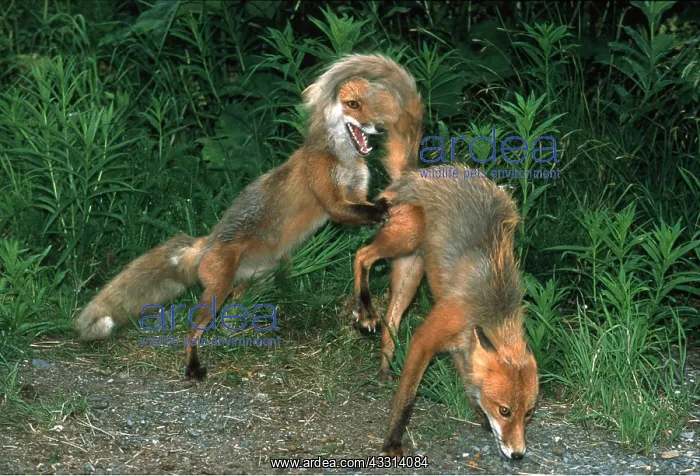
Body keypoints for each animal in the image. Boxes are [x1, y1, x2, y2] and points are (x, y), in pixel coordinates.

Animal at [75, 54, 424, 381]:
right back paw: (192, 367)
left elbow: (366, 205)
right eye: (353, 105)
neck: (342, 158)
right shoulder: (331, 198)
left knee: (232, 308)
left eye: (372, 106)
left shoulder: (356, 194)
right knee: (192, 329)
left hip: (258, 278)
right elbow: (354, 210)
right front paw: (386, 211)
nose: (379, 128)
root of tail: (206, 243)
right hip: (216, 293)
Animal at [352, 168, 539, 459]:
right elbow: (407, 399)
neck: (489, 309)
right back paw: (365, 308)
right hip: (409, 233)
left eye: (528, 413)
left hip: (411, 272)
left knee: (390, 322)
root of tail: (417, 174)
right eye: (505, 410)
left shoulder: (464, 347)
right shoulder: (427, 338)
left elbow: (470, 382)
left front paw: (480, 415)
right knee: (362, 255)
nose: (518, 455)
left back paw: (384, 368)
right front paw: (392, 442)